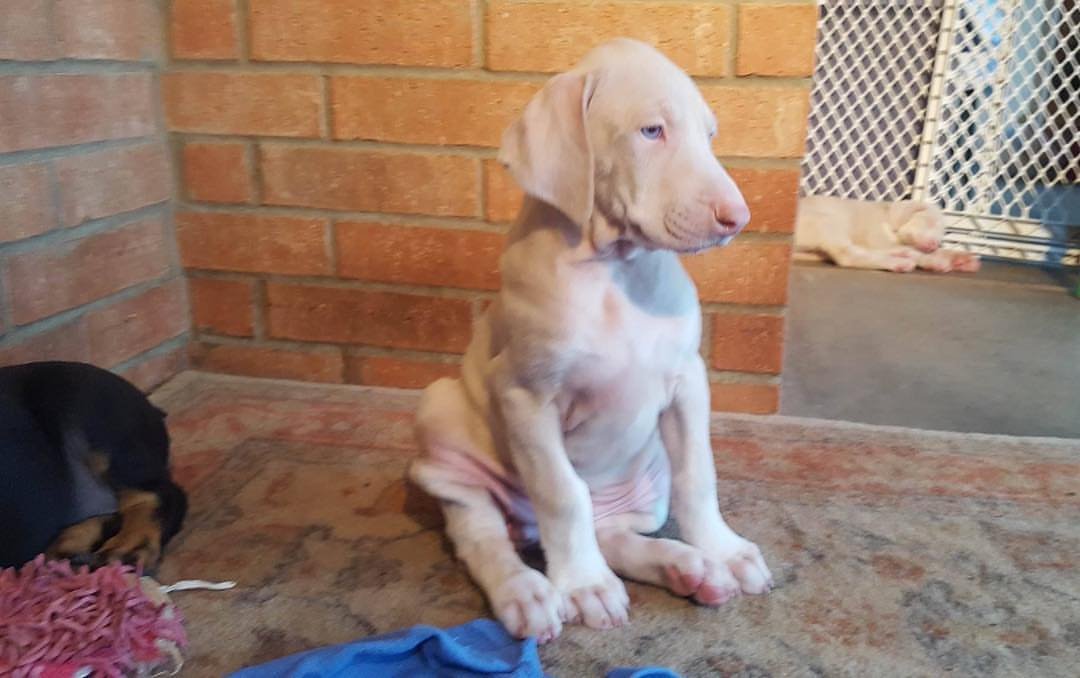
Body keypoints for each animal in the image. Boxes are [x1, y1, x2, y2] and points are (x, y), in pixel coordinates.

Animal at [409, 39, 773, 643]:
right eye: (652, 131)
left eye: (710, 135)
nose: (737, 218)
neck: (615, 270)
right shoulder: (525, 397)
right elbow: (562, 494)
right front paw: (580, 585)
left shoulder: (688, 381)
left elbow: (699, 473)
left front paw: (724, 549)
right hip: (442, 429)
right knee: (482, 537)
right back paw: (534, 592)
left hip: (646, 487)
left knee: (615, 534)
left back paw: (688, 566)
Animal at [795, 195, 982, 273]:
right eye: (929, 222)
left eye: (942, 235)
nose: (933, 245)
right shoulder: (877, 237)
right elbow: (921, 253)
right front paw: (936, 261)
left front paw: (962, 259)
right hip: (826, 222)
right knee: (848, 256)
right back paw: (898, 262)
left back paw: (901, 255)